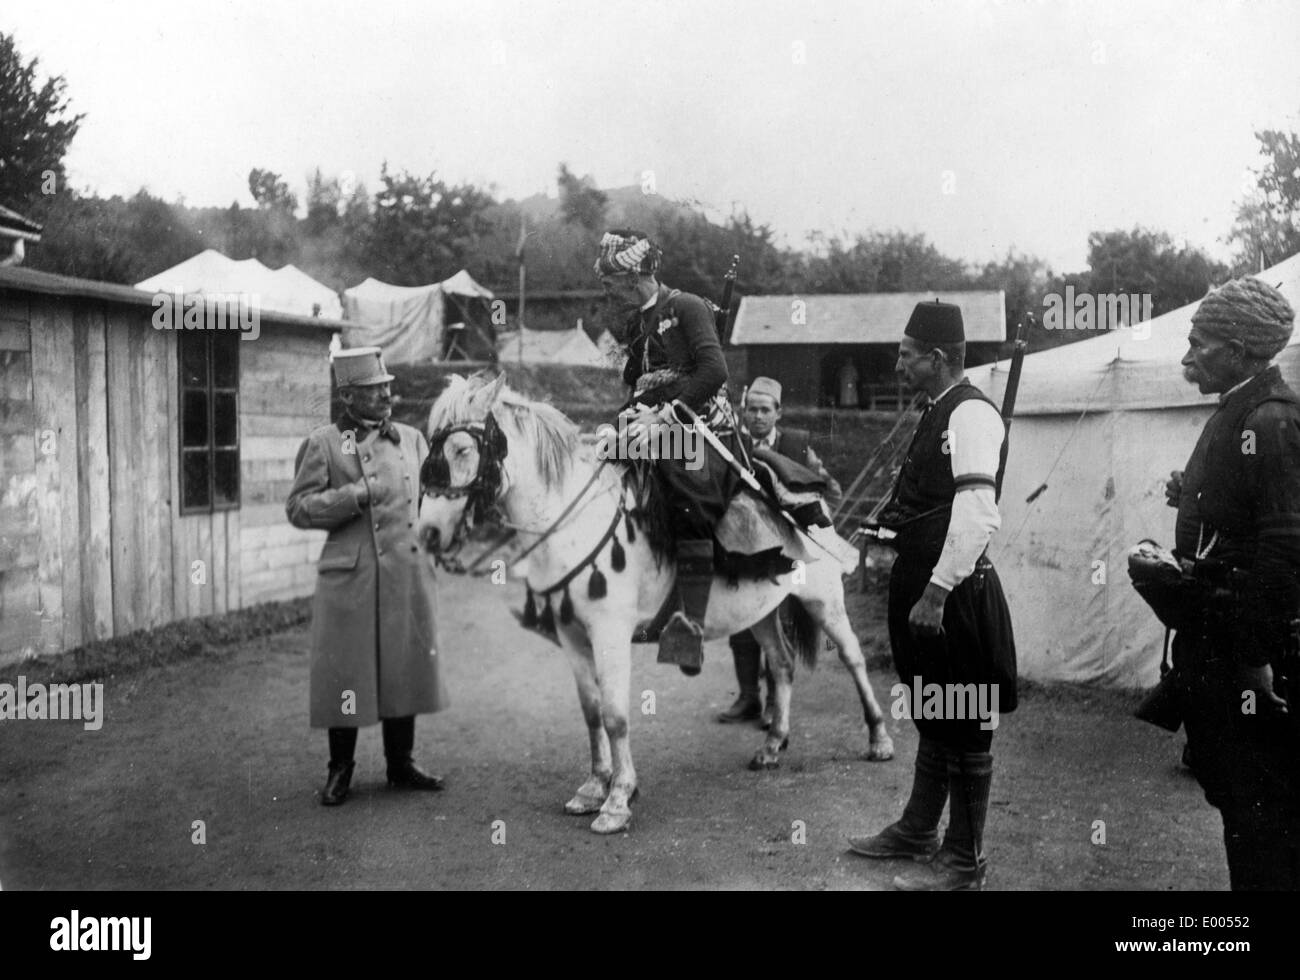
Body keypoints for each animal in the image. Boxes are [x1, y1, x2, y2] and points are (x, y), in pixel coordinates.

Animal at [418, 374, 894, 831]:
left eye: (462, 449)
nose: (427, 534)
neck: (575, 521)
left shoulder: (609, 633)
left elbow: (615, 716)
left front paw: (618, 800)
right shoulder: (572, 636)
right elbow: (591, 712)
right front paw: (593, 787)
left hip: (823, 597)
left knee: (852, 657)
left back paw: (879, 738)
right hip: (761, 609)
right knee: (781, 663)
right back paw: (772, 745)